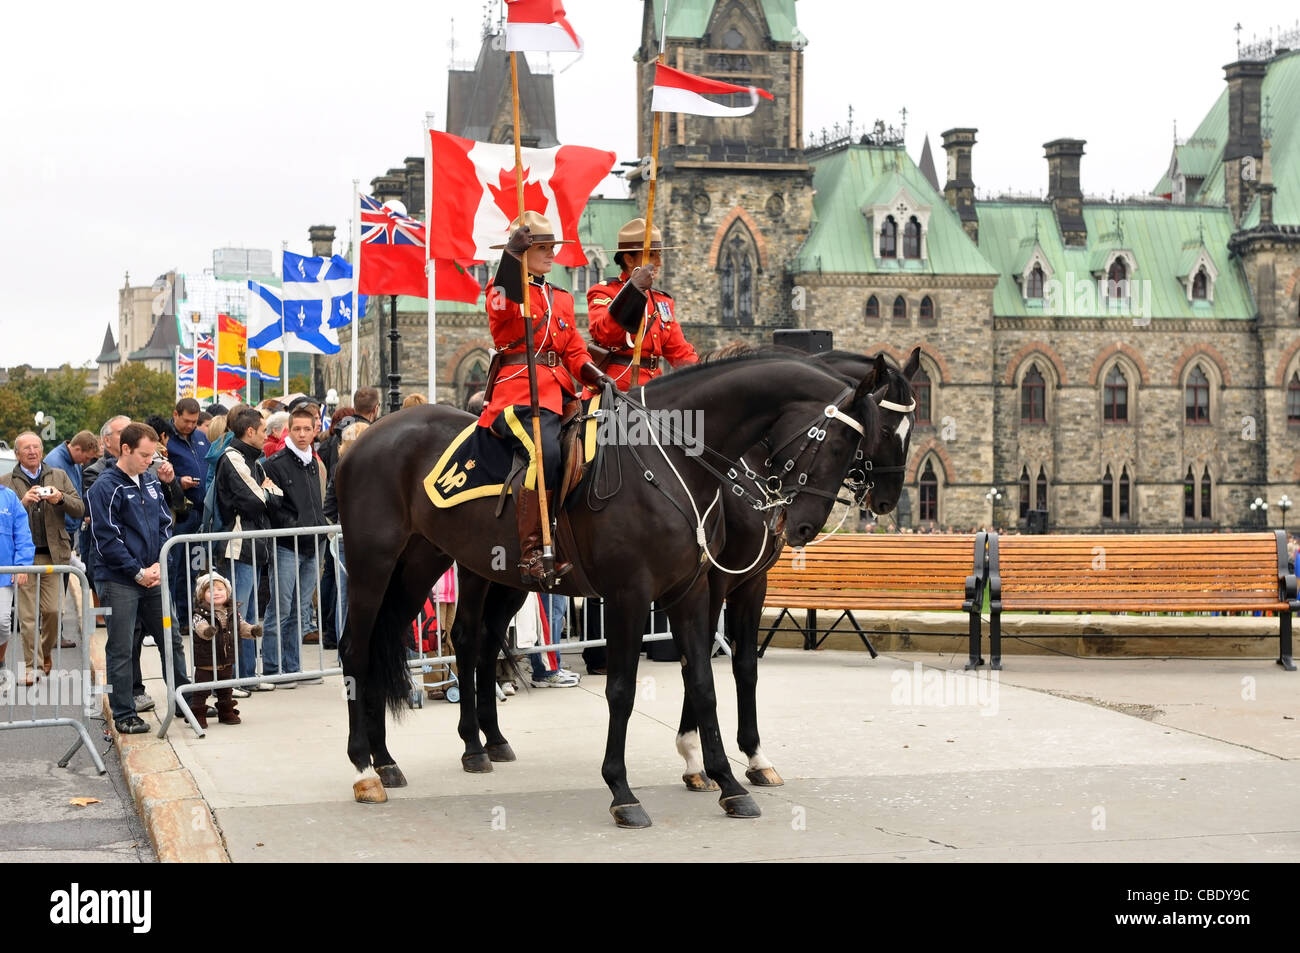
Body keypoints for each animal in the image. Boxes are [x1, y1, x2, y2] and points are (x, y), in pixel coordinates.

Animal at [335, 353, 889, 821]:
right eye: (839, 443)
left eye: (861, 445)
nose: (802, 526)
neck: (673, 460)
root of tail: (367, 437)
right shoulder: (631, 595)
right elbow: (622, 690)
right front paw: (622, 791)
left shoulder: (693, 591)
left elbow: (704, 682)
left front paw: (727, 782)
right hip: (375, 564)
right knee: (361, 649)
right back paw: (365, 768)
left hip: (428, 564)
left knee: (418, 641)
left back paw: (396, 757)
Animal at [676, 348, 920, 790]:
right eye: (882, 429)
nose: (887, 501)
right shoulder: (713, 581)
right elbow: (698, 657)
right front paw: (692, 755)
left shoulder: (752, 582)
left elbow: (745, 664)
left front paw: (754, 755)